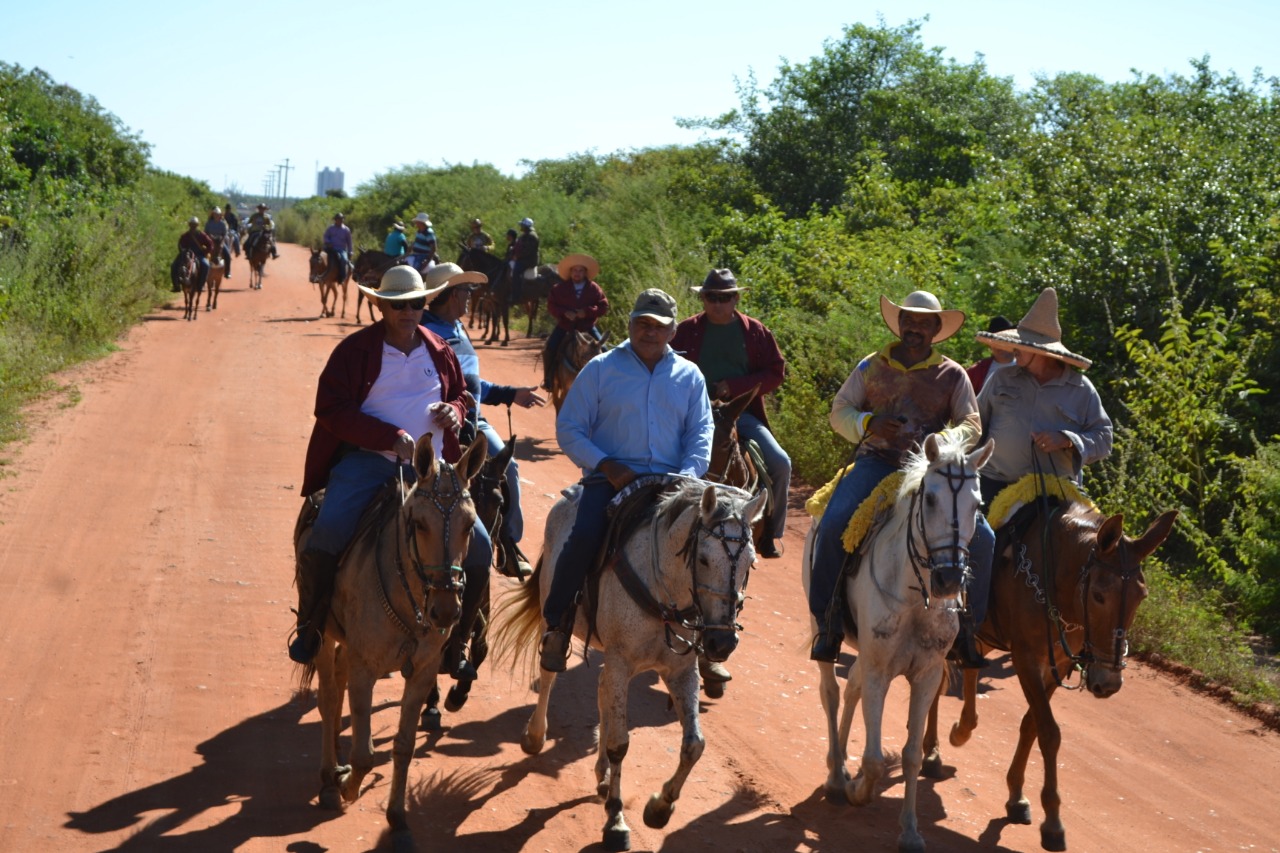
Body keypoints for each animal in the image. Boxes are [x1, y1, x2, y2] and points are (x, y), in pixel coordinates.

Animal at [294, 435, 488, 845]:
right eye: (419, 523)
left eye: (469, 524)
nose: (445, 611)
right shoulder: (365, 667)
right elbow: (364, 754)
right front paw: (346, 784)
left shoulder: (423, 672)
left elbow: (404, 745)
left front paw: (397, 819)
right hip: (322, 636)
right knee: (329, 699)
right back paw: (329, 777)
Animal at [494, 473, 762, 845]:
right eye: (705, 559)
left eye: (751, 562)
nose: (722, 641)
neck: (665, 594)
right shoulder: (621, 661)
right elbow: (620, 743)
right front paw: (616, 819)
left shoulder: (681, 670)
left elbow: (694, 745)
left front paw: (659, 808)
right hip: (555, 607)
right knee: (549, 674)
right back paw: (535, 736)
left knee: (603, 695)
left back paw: (604, 776)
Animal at [798, 432, 998, 850]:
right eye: (931, 498)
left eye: (977, 504)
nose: (949, 580)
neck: (915, 596)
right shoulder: (880, 669)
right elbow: (874, 759)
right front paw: (858, 789)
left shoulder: (925, 676)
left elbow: (911, 756)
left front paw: (909, 830)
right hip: (821, 626)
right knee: (832, 692)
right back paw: (837, 776)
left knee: (851, 689)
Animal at [921, 484, 1177, 850]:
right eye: (1099, 595)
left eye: (1141, 596)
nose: (1109, 682)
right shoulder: (1026, 658)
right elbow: (1049, 732)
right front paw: (1053, 821)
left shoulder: (1058, 662)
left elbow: (1031, 725)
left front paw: (1016, 795)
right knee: (936, 679)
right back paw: (931, 752)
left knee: (969, 666)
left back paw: (963, 727)